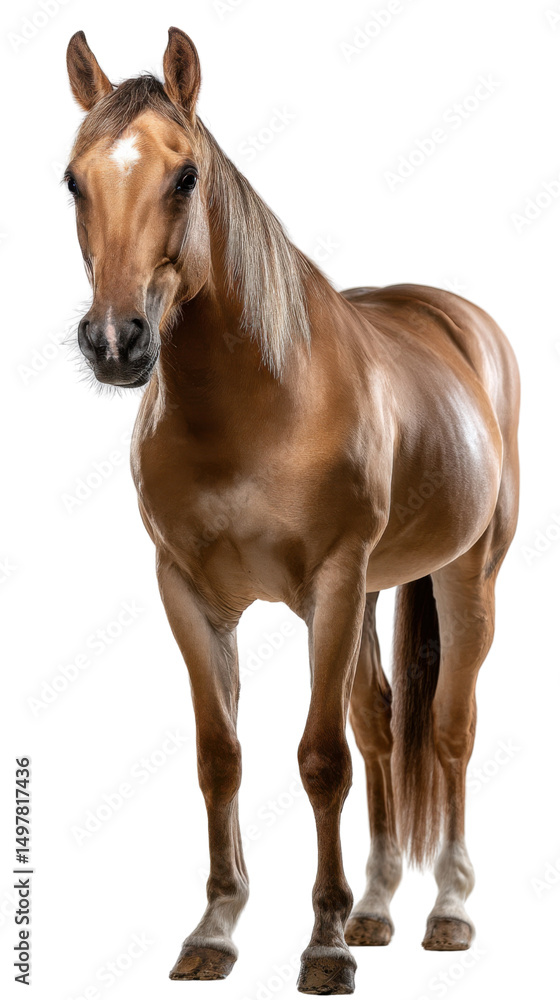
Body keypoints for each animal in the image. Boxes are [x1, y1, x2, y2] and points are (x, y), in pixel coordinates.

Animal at [64, 27, 520, 995]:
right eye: (74, 180)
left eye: (186, 175)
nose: (116, 342)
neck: (257, 404)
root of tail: (457, 322)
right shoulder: (189, 595)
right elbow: (221, 757)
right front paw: (217, 928)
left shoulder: (332, 586)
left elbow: (320, 760)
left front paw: (324, 944)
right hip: (378, 593)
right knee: (383, 723)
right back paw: (379, 907)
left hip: (465, 577)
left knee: (449, 730)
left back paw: (448, 910)